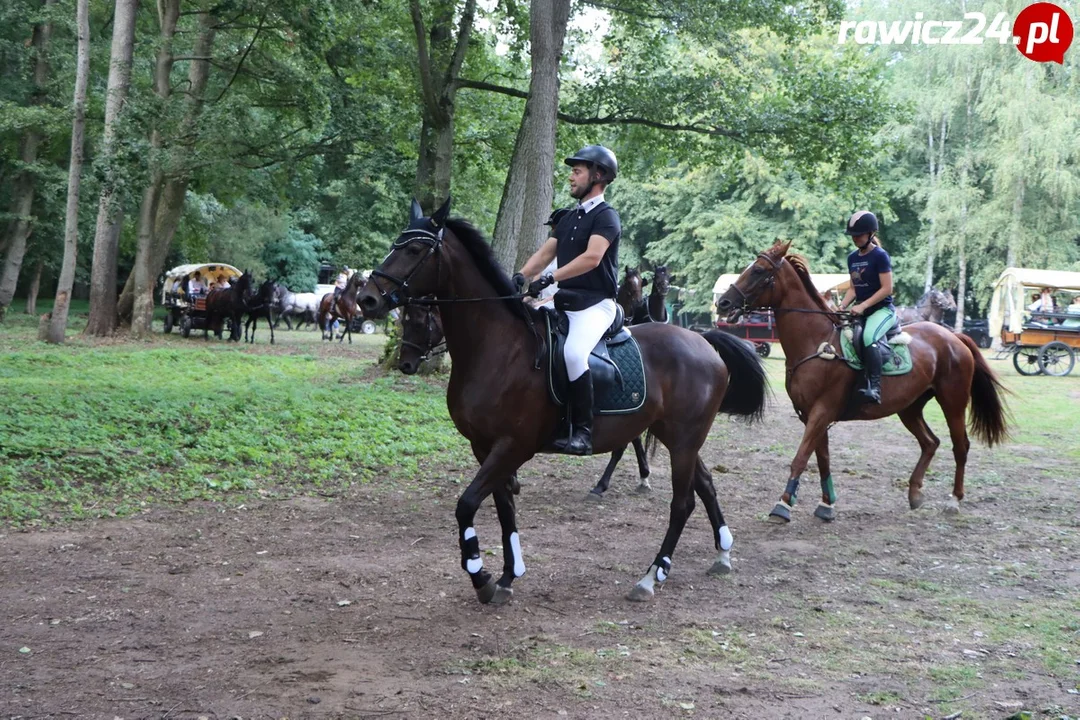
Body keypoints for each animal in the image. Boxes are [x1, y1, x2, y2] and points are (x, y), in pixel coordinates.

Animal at [712, 241, 1006, 524]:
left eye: (758, 270)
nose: (723, 304)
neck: (816, 341)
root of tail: (954, 337)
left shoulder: (821, 411)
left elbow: (801, 457)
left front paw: (783, 505)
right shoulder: (810, 415)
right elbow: (822, 459)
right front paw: (826, 505)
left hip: (952, 402)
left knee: (960, 446)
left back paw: (954, 500)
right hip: (909, 407)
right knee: (930, 442)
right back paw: (915, 494)